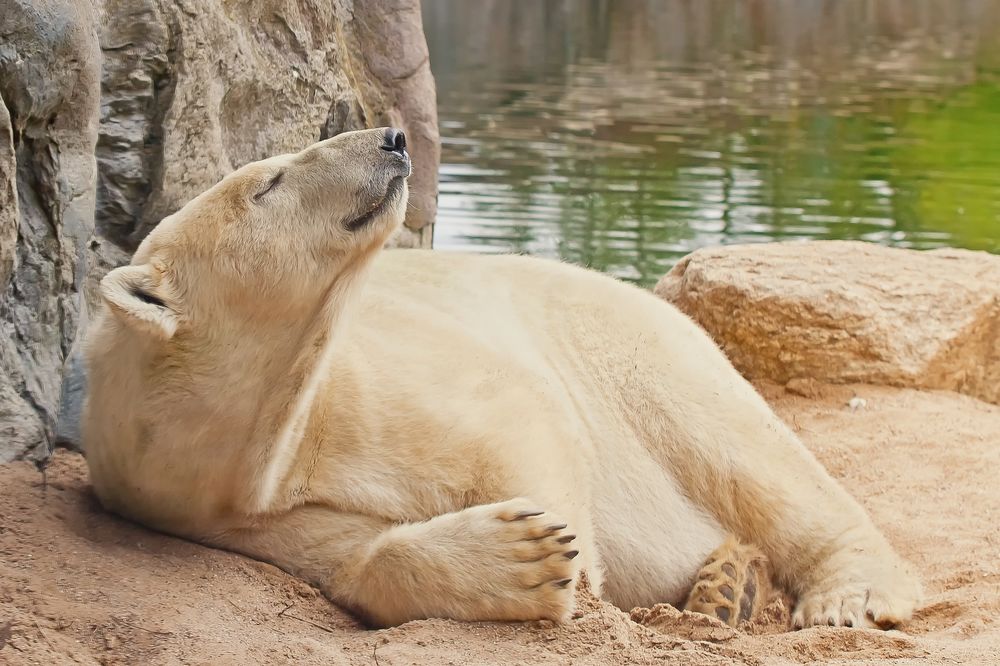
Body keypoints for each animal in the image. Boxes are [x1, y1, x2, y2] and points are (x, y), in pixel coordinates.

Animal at [82, 128, 916, 628]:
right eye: (271, 182)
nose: (391, 138)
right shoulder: (228, 513)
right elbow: (348, 556)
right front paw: (521, 563)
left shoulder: (372, 375)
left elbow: (514, 418)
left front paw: (562, 568)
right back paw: (729, 587)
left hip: (627, 347)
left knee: (740, 450)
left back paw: (842, 597)